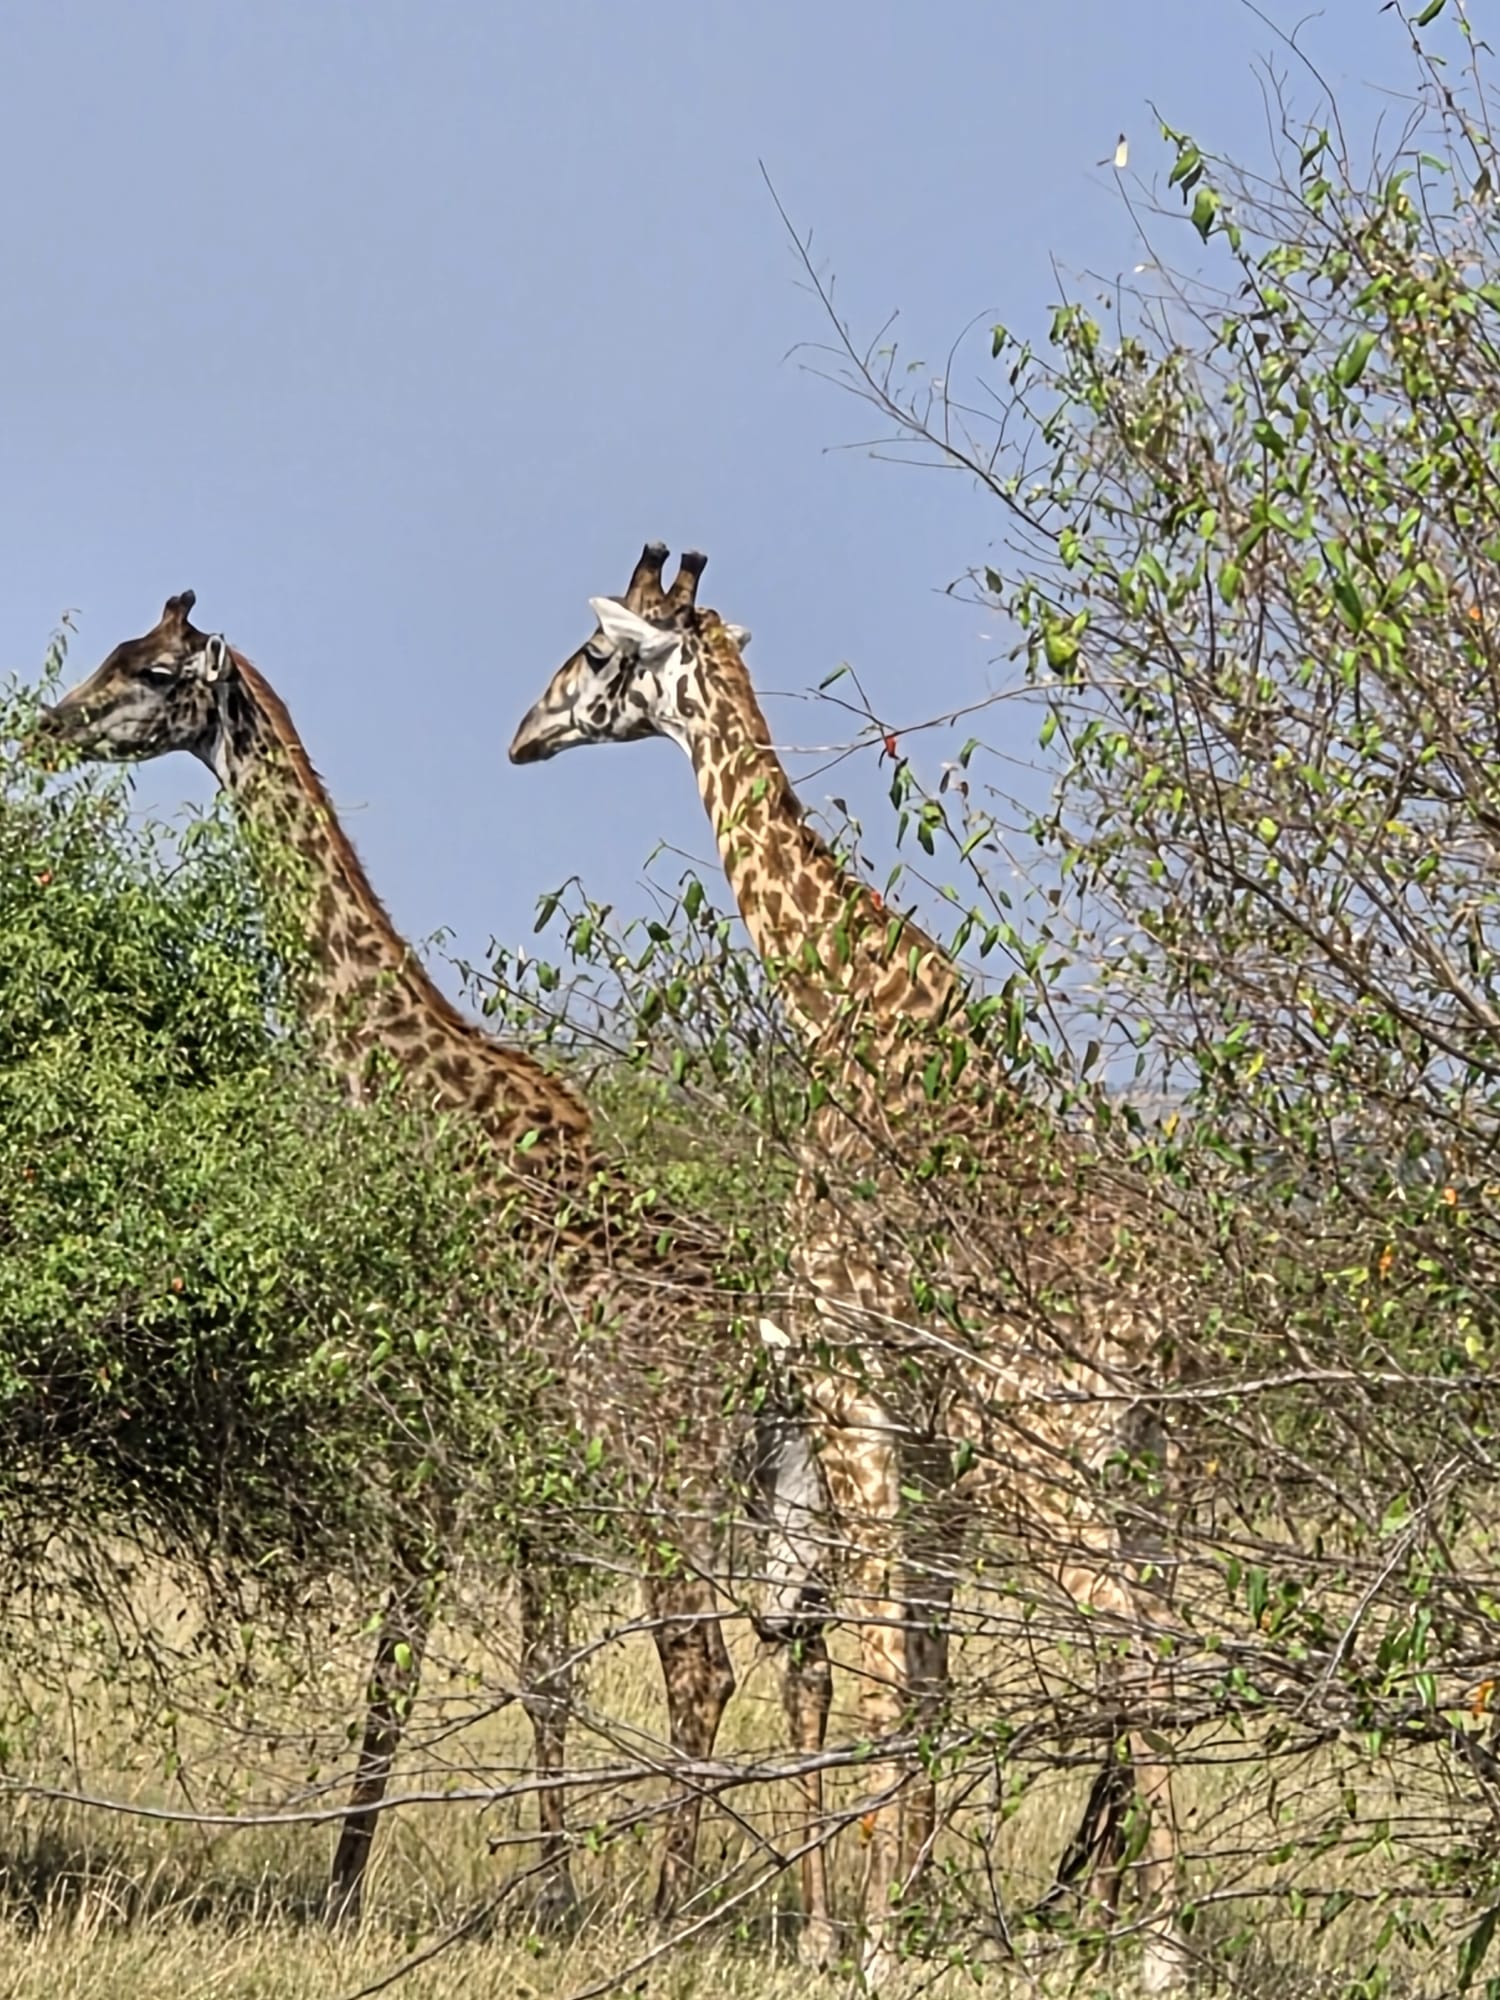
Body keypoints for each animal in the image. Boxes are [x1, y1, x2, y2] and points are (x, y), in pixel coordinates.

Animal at [38, 589, 807, 1937]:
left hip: (669, 1476)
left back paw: (674, 1910)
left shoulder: (436, 1412)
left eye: (153, 672)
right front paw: (551, 1892)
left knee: (702, 1666)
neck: (404, 1093)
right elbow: (546, 1669)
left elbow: (398, 1651)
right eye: (114, 656)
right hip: (773, 1490)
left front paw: (342, 1885)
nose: (46, 723)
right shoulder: (527, 1451)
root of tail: (768, 1348)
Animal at [508, 544, 1190, 1991]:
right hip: (1152, 1477)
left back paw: (1158, 1952)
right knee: (1165, 1651)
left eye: (593, 657)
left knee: (1134, 1661)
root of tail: (1171, 1331)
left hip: (1042, 1465)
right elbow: (915, 1671)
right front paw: (902, 1920)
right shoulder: (911, 1440)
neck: (837, 1009)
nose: (522, 734)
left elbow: (875, 1666)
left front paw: (876, 1939)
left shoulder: (848, 1380)